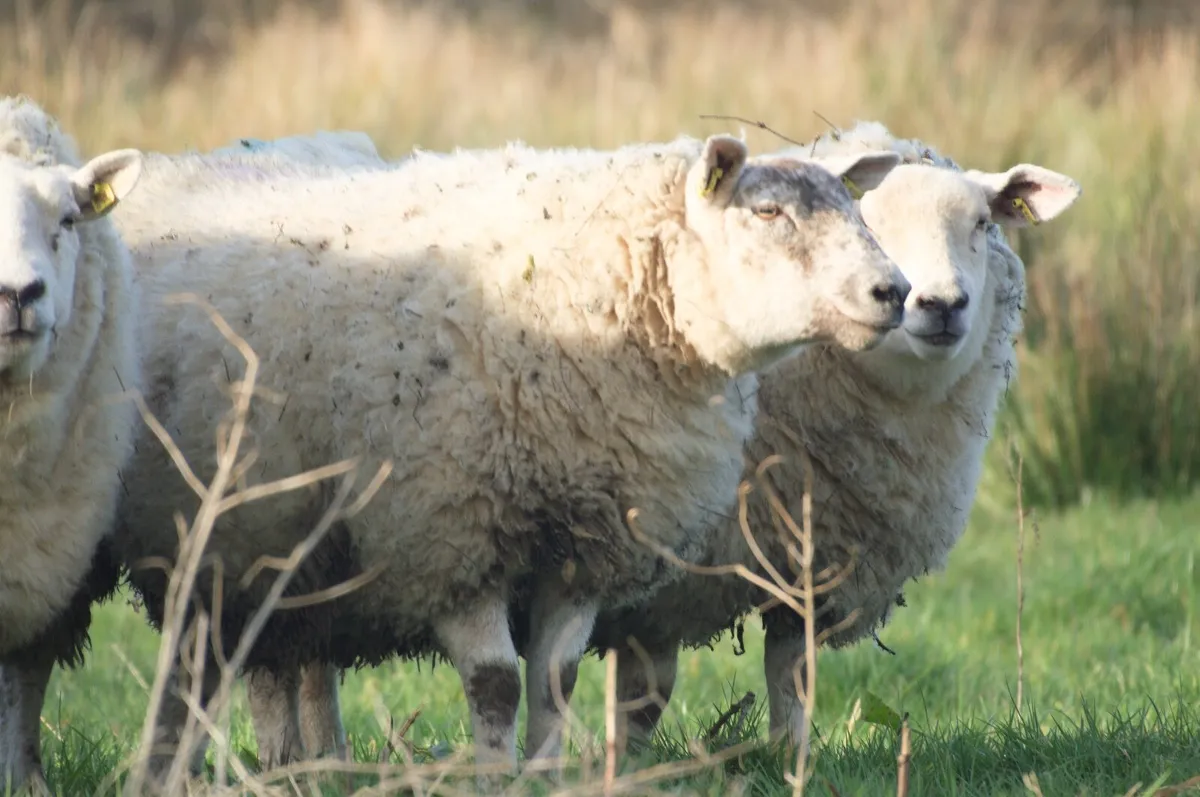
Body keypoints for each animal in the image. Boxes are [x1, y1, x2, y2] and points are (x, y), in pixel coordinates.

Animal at [109, 132, 912, 777]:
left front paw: (546, 773)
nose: (896, 289)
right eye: (768, 214)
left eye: (853, 209)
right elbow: (494, 682)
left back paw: (297, 766)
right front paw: (496, 775)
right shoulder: (453, 532)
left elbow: (556, 678)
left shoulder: (587, 541)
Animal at [541, 122, 1081, 754]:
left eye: (980, 223)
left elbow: (782, 676)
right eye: (866, 225)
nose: (941, 304)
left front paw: (787, 757)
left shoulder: (804, 563)